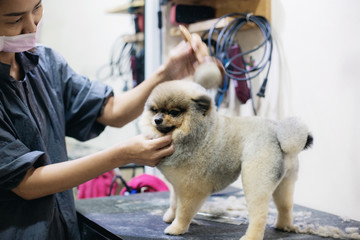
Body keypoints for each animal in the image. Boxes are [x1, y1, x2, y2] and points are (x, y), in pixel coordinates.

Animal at [139, 68, 314, 239]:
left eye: (174, 112)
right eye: (155, 110)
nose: (157, 119)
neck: (201, 132)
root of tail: (279, 135)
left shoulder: (192, 189)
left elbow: (184, 211)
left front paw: (176, 228)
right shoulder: (177, 184)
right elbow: (174, 203)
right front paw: (170, 217)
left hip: (256, 179)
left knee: (259, 214)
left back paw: (251, 236)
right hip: (286, 181)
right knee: (285, 206)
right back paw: (284, 226)